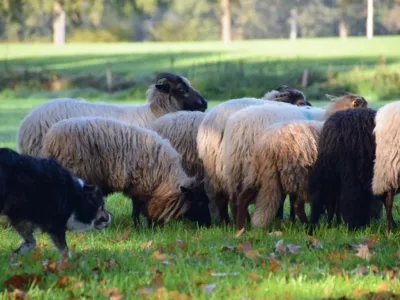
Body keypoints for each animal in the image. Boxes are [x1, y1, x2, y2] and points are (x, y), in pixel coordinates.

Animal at [43, 116, 212, 226]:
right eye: (199, 201)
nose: (209, 224)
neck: (165, 179)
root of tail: (50, 139)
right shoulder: (141, 186)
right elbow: (137, 208)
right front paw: (141, 226)